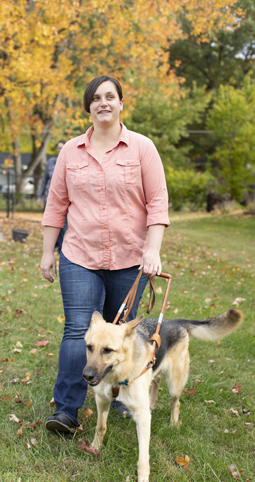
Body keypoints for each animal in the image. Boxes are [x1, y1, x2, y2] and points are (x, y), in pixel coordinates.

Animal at [83, 308, 243, 482]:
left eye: (108, 350)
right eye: (89, 347)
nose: (86, 376)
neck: (118, 376)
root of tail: (175, 321)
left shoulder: (142, 416)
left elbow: (143, 456)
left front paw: (143, 476)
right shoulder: (102, 400)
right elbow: (101, 427)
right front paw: (94, 448)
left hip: (174, 384)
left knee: (176, 402)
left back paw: (173, 423)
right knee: (156, 381)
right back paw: (153, 404)